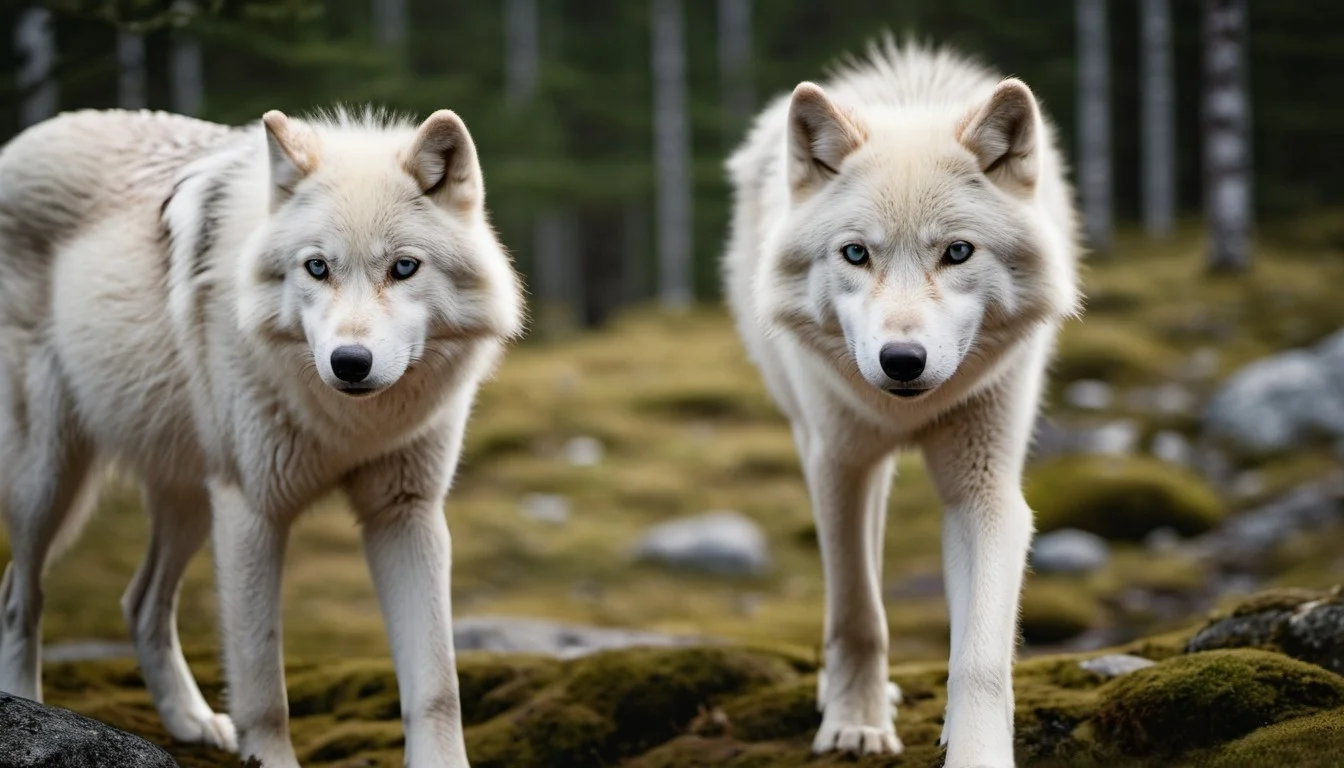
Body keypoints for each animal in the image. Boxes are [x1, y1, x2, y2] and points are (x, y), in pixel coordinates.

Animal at [0, 106, 523, 767]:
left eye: (403, 267)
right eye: (317, 266)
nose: (349, 362)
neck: (349, 428)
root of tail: (24, 139)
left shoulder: (406, 513)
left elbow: (437, 688)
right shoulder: (254, 511)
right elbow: (263, 686)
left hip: (191, 498)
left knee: (140, 603)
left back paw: (193, 722)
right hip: (50, 479)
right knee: (19, 595)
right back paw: (29, 705)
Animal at [723, 39, 1081, 766]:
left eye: (958, 252)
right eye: (856, 253)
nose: (902, 360)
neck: (907, 414)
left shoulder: (985, 490)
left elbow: (981, 656)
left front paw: (975, 750)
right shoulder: (839, 465)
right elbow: (857, 612)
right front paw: (855, 724)